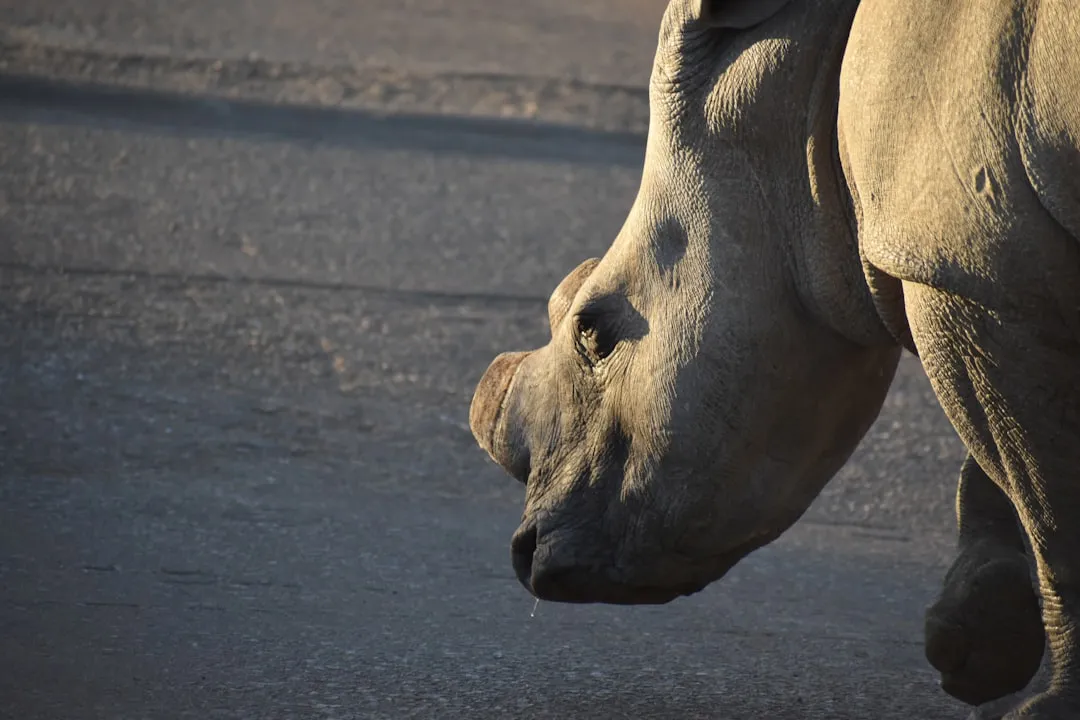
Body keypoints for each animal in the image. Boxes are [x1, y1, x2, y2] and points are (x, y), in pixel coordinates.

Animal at [469, 0, 1080, 716]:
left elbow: (1053, 508)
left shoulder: (978, 269)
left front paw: (1047, 705)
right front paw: (976, 649)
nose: (526, 555)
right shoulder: (983, 262)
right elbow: (1014, 469)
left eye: (595, 333)